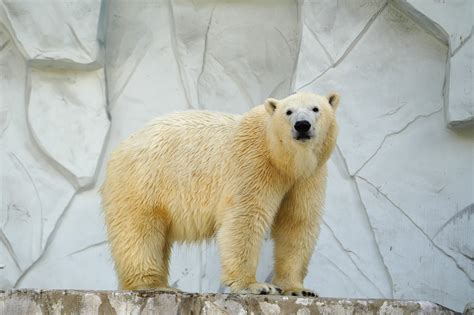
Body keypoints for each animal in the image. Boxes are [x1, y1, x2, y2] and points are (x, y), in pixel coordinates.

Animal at [102, 91, 340, 296]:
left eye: (316, 108)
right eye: (288, 112)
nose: (302, 125)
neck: (282, 159)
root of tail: (119, 148)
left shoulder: (308, 177)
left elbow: (297, 223)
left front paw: (299, 289)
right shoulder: (253, 164)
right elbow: (245, 218)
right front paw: (256, 285)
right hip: (144, 181)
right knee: (140, 232)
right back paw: (152, 285)